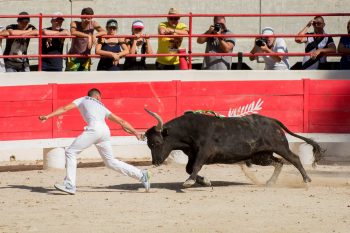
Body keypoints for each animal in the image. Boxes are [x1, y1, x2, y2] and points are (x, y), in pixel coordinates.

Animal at [144, 109, 322, 187]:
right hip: (260, 156)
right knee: (278, 162)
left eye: (157, 143)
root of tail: (272, 120)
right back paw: (270, 182)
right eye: (148, 144)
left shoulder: (204, 152)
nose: (156, 162)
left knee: (294, 158)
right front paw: (204, 181)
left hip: (279, 146)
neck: (189, 131)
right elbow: (189, 168)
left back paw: (307, 179)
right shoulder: (193, 154)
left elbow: (195, 167)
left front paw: (189, 182)